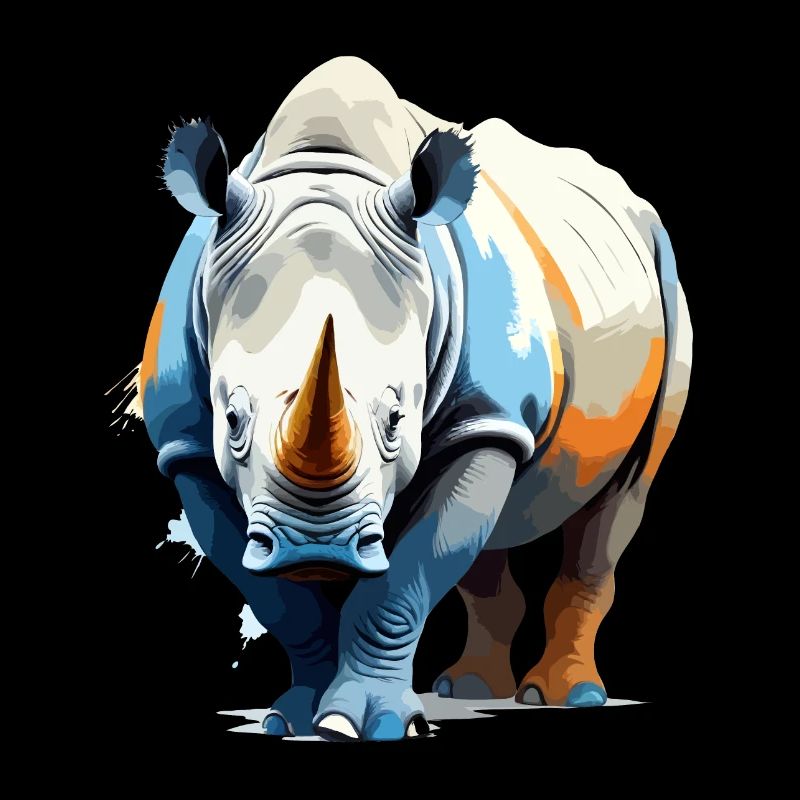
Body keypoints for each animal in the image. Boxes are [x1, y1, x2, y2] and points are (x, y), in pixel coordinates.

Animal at [128, 57, 692, 741]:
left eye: (398, 418)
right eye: (231, 418)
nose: (316, 545)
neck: (325, 171)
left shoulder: (485, 416)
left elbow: (404, 579)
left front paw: (360, 725)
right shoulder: (184, 444)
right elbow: (282, 600)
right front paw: (296, 717)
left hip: (664, 279)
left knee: (621, 498)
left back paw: (563, 697)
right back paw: (467, 688)